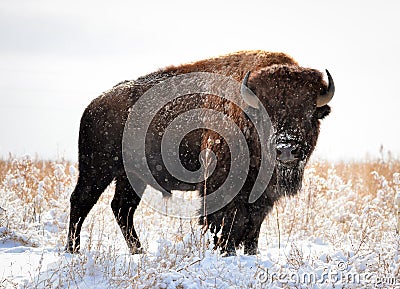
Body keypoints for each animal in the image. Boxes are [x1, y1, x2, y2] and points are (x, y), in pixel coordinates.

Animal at [66, 50, 334, 255]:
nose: (286, 150)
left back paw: (138, 251)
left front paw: (251, 254)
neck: (247, 111)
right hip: (96, 170)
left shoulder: (263, 196)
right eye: (266, 113)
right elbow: (223, 222)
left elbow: (252, 226)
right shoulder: (219, 185)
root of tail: (95, 105)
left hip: (131, 177)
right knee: (81, 201)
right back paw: (73, 250)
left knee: (122, 208)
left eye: (310, 114)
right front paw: (223, 252)